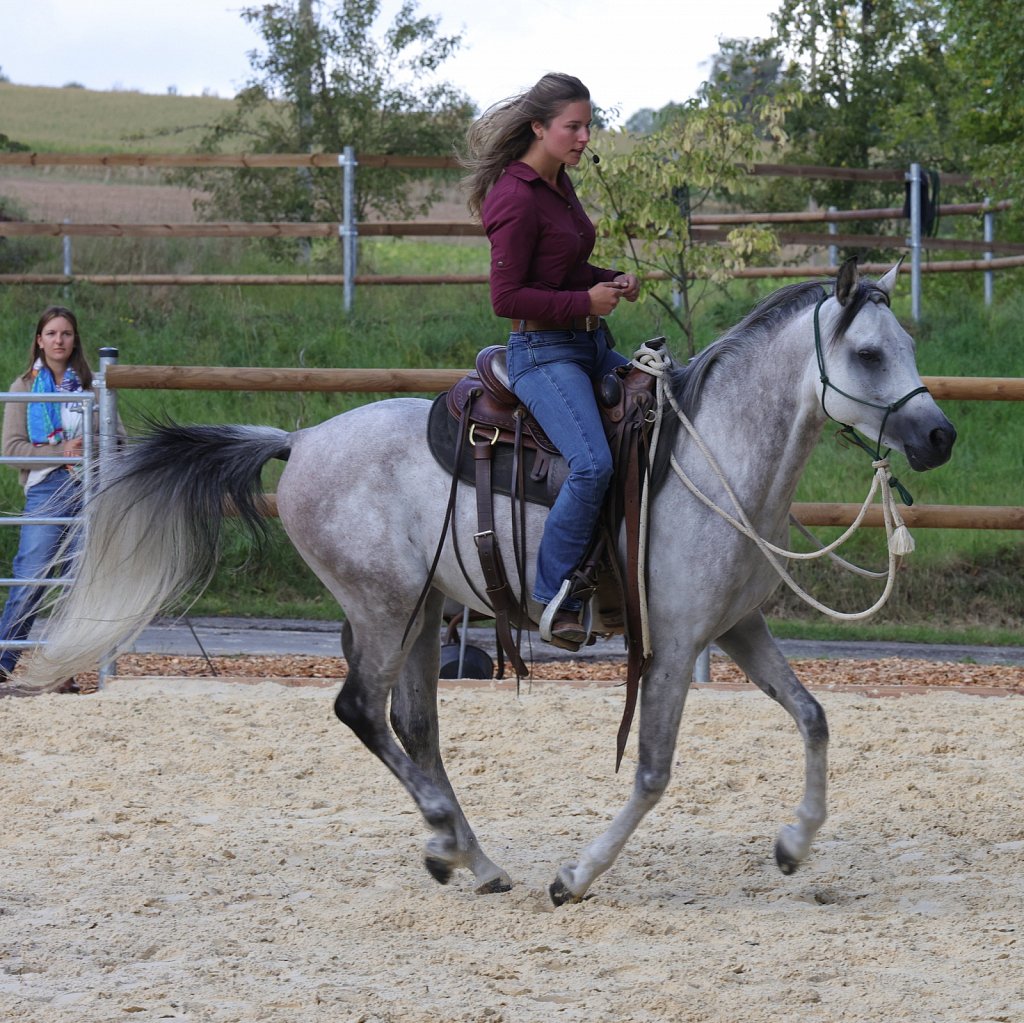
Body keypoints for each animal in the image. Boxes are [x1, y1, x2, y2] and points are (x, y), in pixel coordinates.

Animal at [22, 260, 955, 905]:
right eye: (867, 351)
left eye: (911, 345)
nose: (940, 434)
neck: (712, 458)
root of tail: (301, 438)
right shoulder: (673, 644)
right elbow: (653, 772)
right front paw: (576, 874)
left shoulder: (734, 628)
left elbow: (814, 715)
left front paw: (796, 842)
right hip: (385, 608)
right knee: (361, 711)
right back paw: (450, 837)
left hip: (423, 612)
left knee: (413, 727)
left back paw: (469, 854)